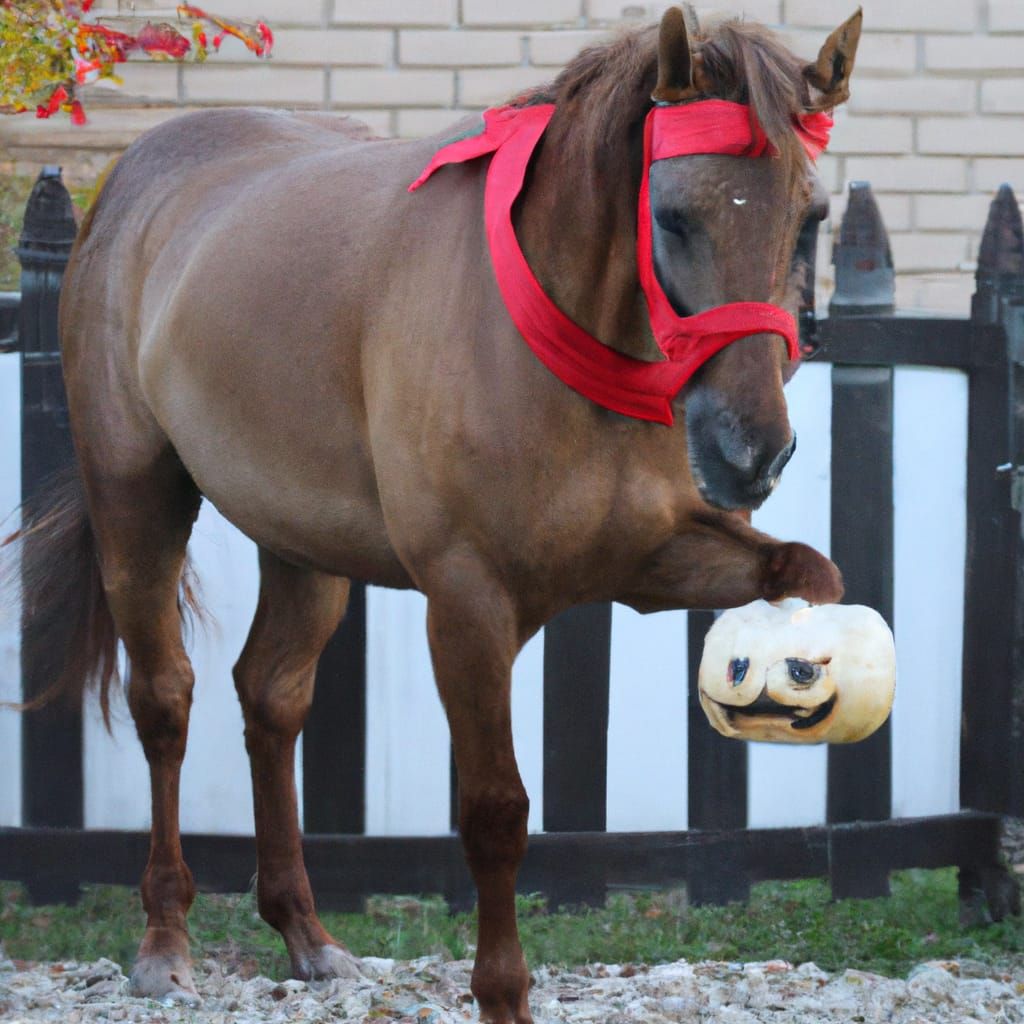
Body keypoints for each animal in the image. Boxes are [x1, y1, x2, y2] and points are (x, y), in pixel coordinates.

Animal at [17, 6, 860, 1022]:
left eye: (810, 219)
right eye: (672, 215)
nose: (751, 451)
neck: (555, 338)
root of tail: (133, 179)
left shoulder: (650, 564)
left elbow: (810, 573)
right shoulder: (469, 602)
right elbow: (494, 812)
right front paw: (502, 994)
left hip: (303, 543)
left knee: (271, 696)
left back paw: (306, 934)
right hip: (137, 504)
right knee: (165, 702)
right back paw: (164, 940)